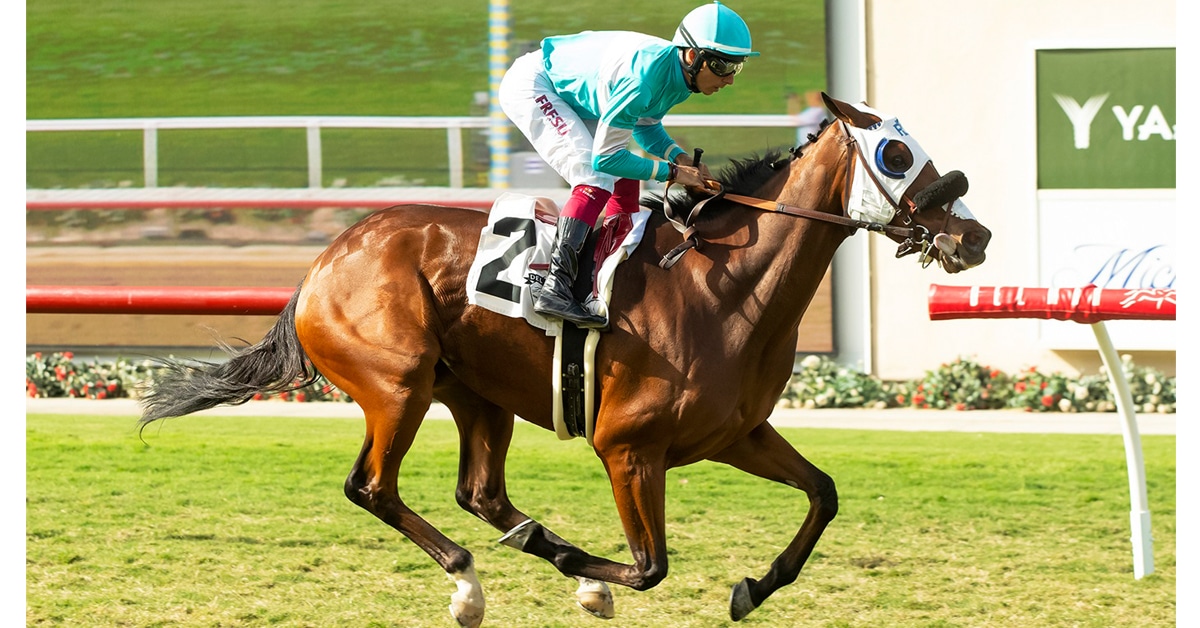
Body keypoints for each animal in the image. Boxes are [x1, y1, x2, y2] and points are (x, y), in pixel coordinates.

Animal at [138, 93, 992, 626]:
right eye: (895, 151)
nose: (974, 233)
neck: (724, 287)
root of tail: (323, 262)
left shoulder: (736, 435)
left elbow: (824, 494)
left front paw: (752, 587)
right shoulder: (629, 449)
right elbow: (650, 567)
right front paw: (592, 582)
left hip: (476, 396)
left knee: (480, 492)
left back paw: (530, 551)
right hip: (397, 385)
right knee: (372, 487)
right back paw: (473, 583)